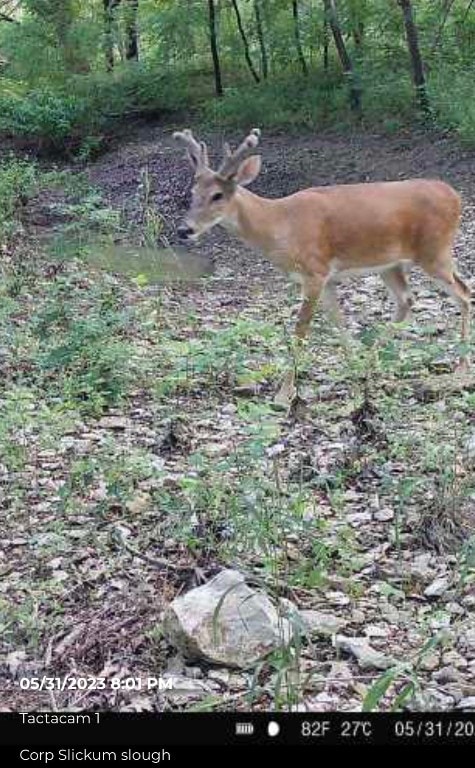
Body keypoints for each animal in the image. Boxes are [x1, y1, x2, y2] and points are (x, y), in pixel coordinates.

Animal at [174, 126, 472, 402]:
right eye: (192, 192)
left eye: (217, 195)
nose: (184, 230)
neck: (280, 224)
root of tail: (455, 195)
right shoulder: (327, 277)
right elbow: (337, 320)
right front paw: (352, 368)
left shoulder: (314, 271)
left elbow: (301, 330)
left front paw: (284, 393)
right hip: (391, 264)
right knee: (407, 300)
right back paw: (371, 363)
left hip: (435, 251)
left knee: (464, 293)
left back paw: (462, 366)